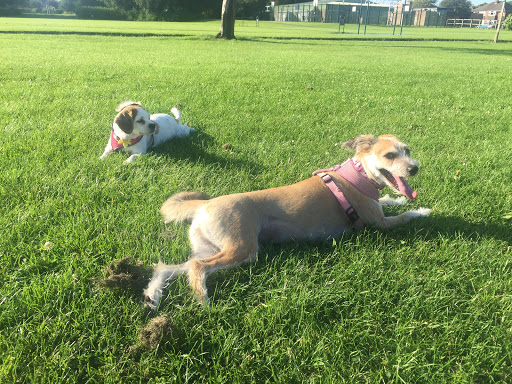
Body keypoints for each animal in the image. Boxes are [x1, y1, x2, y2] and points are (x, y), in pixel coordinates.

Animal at [144, 134, 432, 308]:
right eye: (390, 156)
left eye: (407, 150)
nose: (415, 167)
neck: (357, 175)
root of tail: (205, 204)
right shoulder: (379, 224)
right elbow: (404, 216)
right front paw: (423, 210)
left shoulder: (376, 207)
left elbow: (388, 201)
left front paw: (401, 200)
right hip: (242, 247)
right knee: (198, 267)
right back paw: (203, 302)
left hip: (212, 245)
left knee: (172, 267)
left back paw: (152, 295)